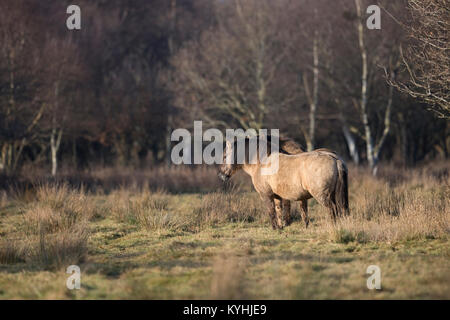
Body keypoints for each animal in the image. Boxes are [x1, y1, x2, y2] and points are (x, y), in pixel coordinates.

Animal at [218, 136, 348, 229]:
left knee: (331, 210)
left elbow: (271, 211)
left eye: (224, 156)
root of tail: (335, 159)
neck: (262, 161)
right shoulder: (277, 196)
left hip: (322, 196)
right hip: (332, 195)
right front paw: (280, 227)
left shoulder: (266, 195)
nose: (221, 175)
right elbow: (278, 210)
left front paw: (275, 228)